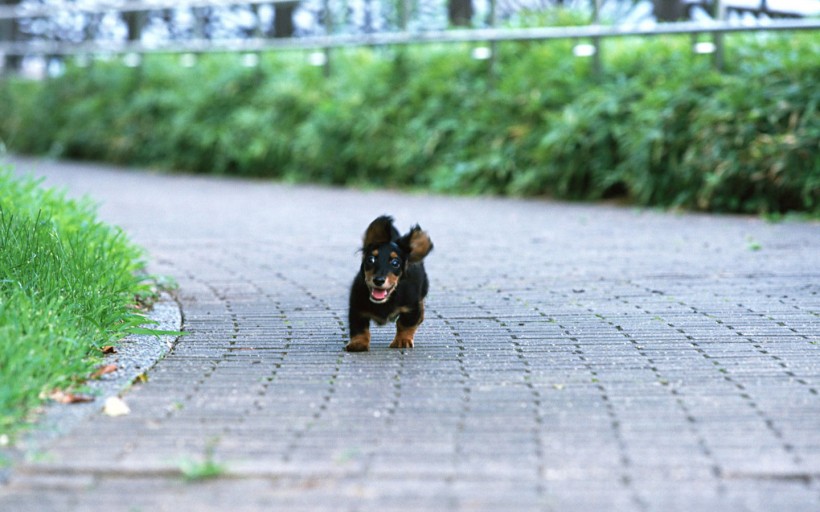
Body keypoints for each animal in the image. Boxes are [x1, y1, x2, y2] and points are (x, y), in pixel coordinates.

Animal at [346, 215, 432, 352]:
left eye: (395, 263)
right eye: (371, 259)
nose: (378, 280)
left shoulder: (411, 307)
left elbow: (405, 324)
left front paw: (402, 340)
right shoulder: (356, 307)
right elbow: (359, 328)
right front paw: (358, 343)